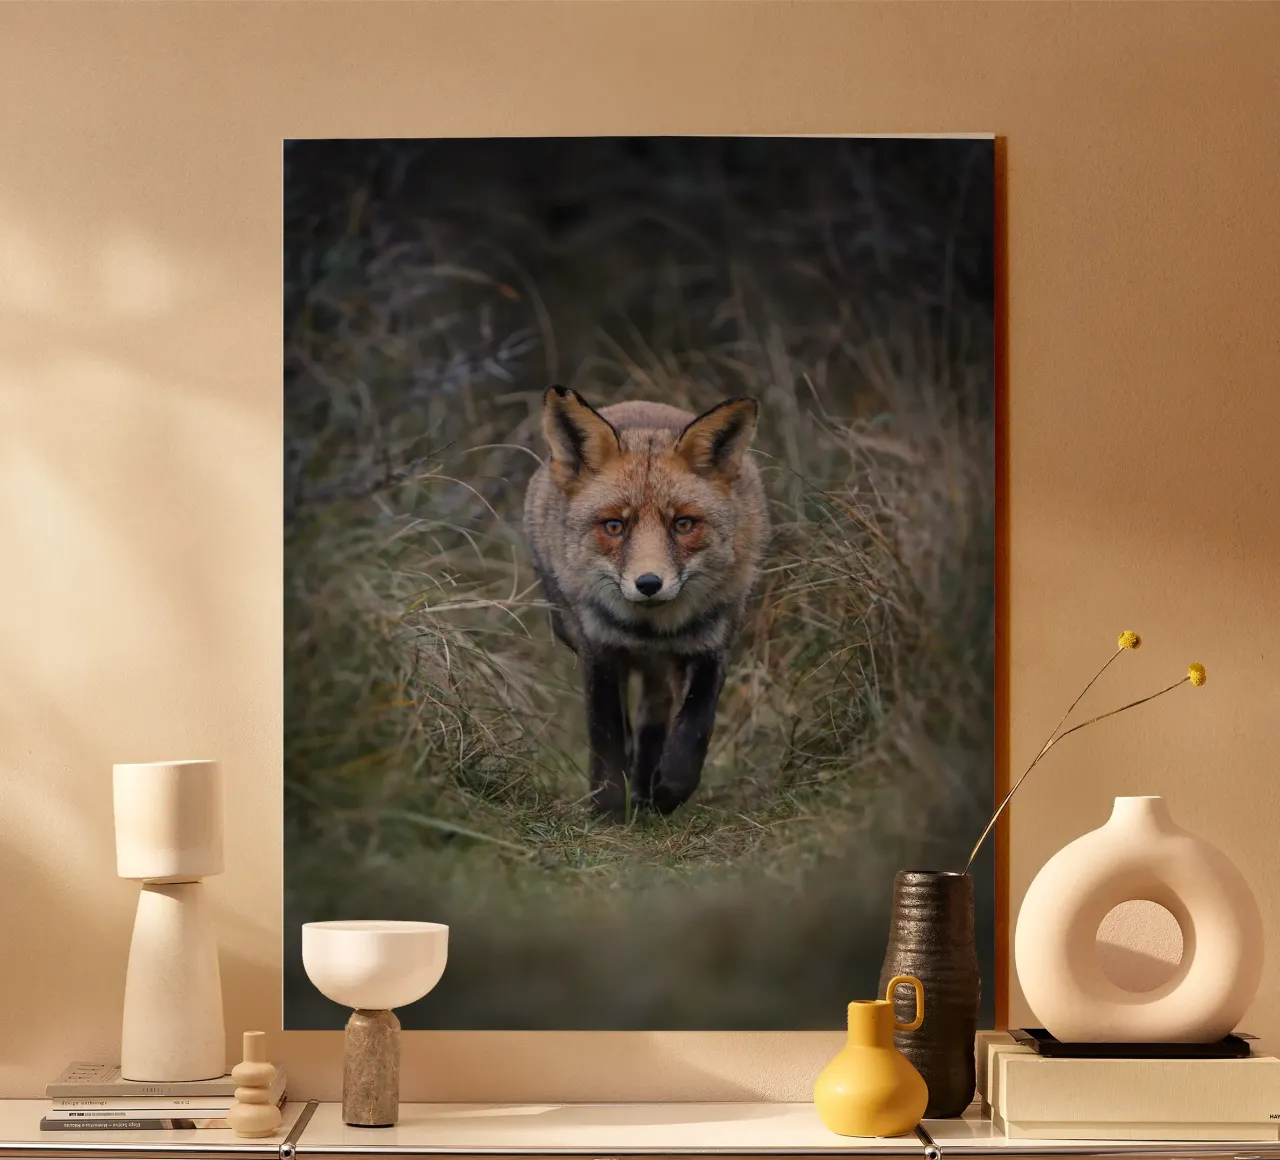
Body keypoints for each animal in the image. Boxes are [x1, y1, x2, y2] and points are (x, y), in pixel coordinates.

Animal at [523, 385, 769, 819]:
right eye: (614, 526)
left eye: (683, 524)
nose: (649, 583)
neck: (650, 630)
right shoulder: (599, 649)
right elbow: (606, 736)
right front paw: (607, 811)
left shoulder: (712, 645)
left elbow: (694, 729)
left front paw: (668, 790)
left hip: (664, 668)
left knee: (653, 718)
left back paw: (646, 787)